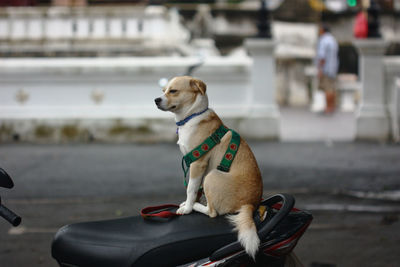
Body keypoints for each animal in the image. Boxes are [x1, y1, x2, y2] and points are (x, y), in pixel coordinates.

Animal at [155, 76, 264, 260]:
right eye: (163, 90)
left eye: (173, 91)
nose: (156, 100)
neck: (191, 116)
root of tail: (250, 205)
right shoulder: (198, 167)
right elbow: (195, 189)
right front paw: (189, 202)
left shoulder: (197, 164)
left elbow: (191, 189)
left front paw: (187, 208)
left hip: (211, 176)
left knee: (213, 213)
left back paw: (196, 206)